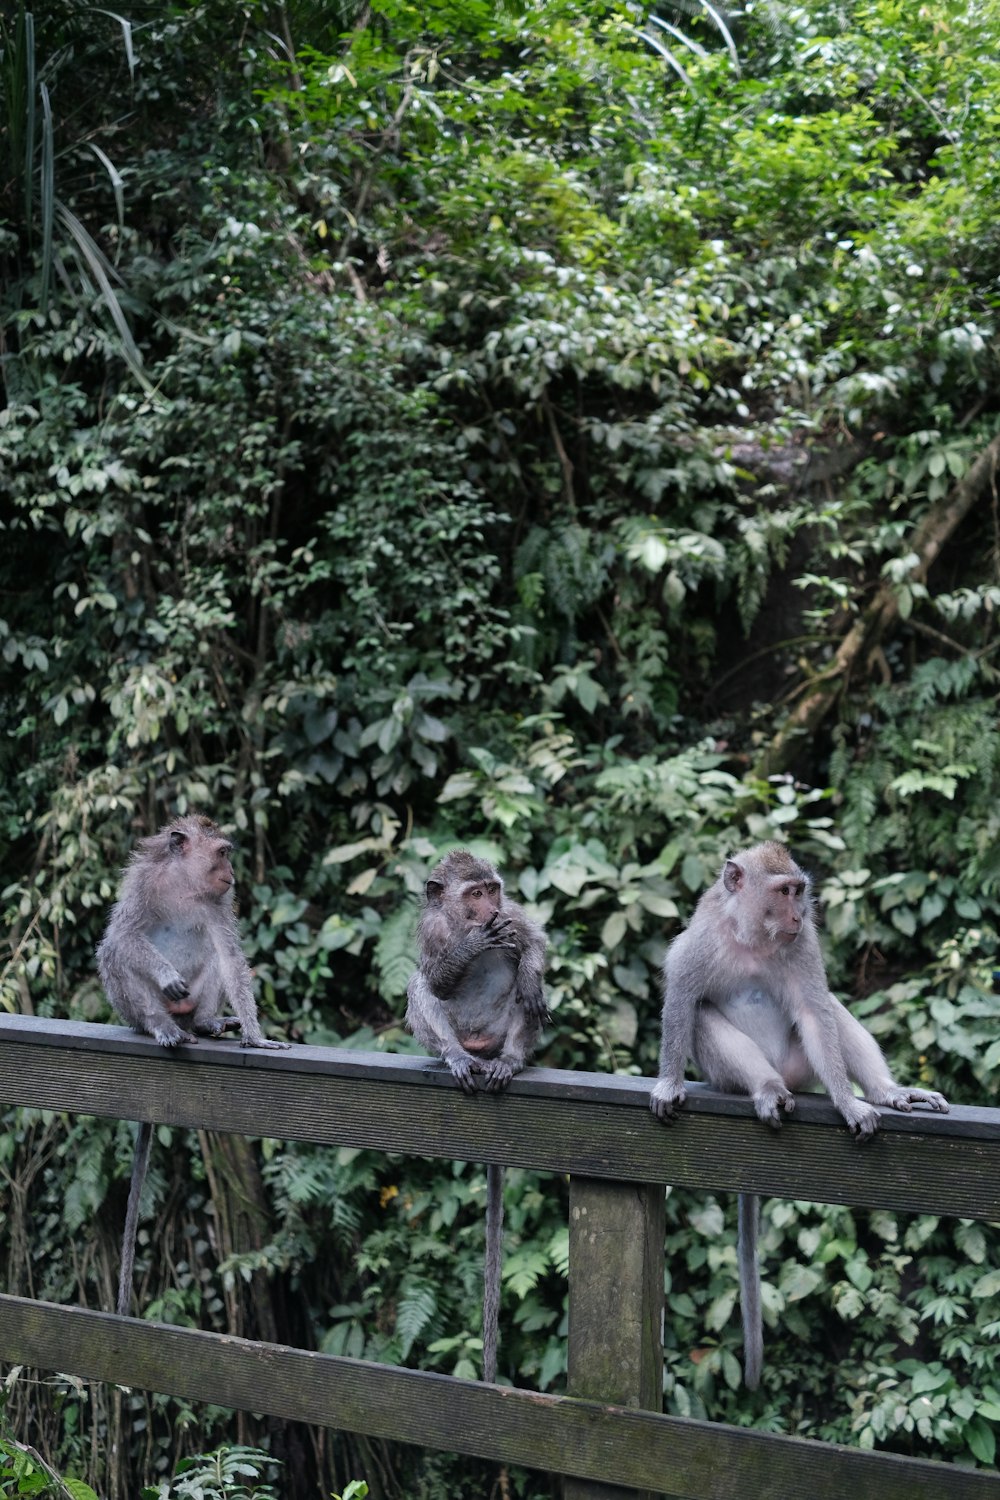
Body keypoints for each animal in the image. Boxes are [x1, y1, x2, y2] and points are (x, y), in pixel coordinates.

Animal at [95, 816, 289, 1320]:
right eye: (222, 853)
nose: (232, 874)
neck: (184, 884)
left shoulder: (218, 902)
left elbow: (232, 958)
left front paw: (255, 1035)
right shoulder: (144, 884)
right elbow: (124, 937)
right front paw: (165, 976)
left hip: (197, 998)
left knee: (217, 961)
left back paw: (206, 1022)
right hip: (133, 1009)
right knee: (117, 954)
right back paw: (162, 1027)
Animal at [404, 852, 548, 1374]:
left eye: (493, 889)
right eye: (474, 894)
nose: (489, 908)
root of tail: (483, 1051)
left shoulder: (513, 914)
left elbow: (533, 943)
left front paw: (529, 974)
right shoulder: (431, 930)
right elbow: (434, 976)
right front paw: (469, 946)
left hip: (505, 1036)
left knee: (524, 994)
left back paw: (510, 1059)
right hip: (455, 1040)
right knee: (420, 985)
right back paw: (456, 1058)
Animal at [650, 840, 947, 1386]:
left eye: (797, 891)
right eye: (784, 891)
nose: (799, 913)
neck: (752, 937)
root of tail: (783, 1075)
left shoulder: (804, 944)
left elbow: (814, 1010)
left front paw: (851, 1102)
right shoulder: (699, 941)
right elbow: (682, 998)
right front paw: (668, 1082)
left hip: (799, 1065)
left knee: (826, 1009)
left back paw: (886, 1092)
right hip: (732, 1075)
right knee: (703, 1016)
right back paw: (766, 1089)